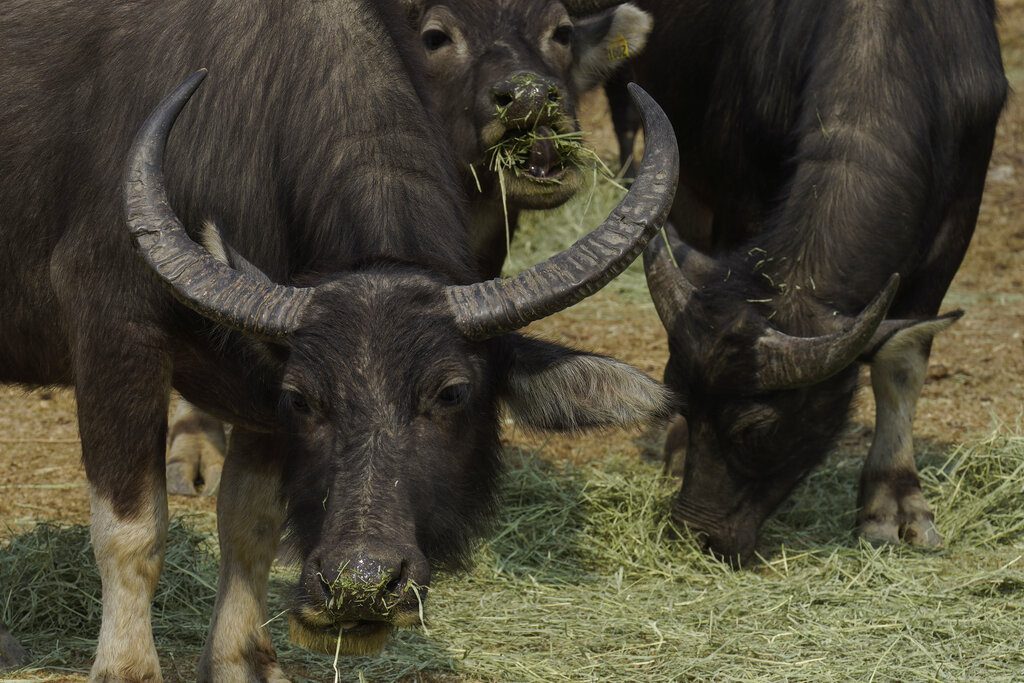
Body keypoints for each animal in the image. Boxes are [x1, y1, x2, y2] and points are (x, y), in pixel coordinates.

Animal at [614, 0, 1007, 561]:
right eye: (682, 399)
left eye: (759, 431)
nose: (696, 533)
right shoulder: (738, 193)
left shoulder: (957, 223)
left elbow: (902, 361)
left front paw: (894, 504)